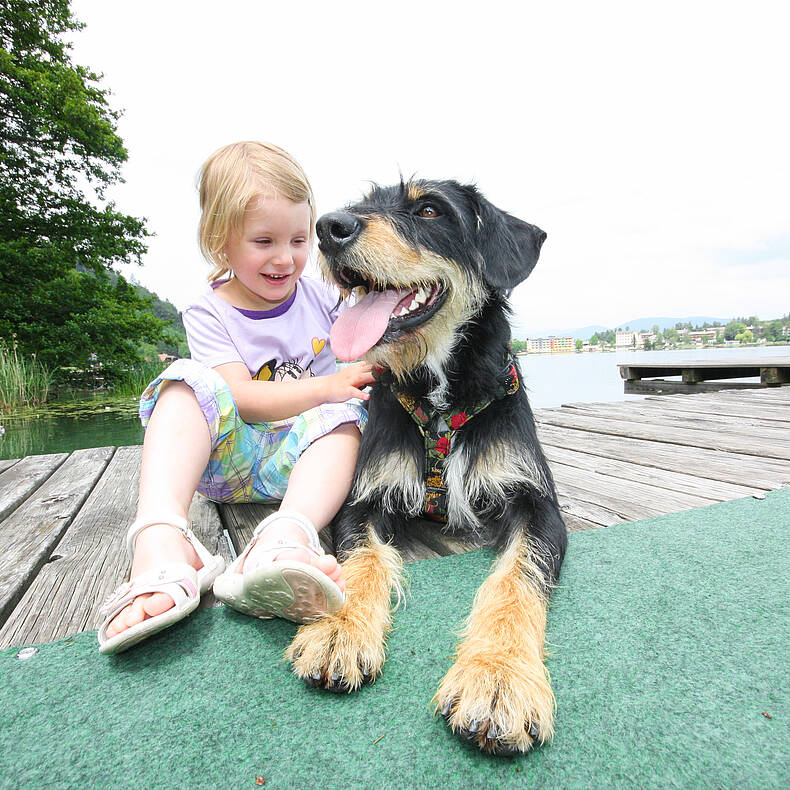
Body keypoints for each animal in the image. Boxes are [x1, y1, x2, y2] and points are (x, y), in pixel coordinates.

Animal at [284, 179, 568, 756]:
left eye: (430, 209)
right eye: (364, 202)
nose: (328, 227)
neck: (439, 396)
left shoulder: (539, 506)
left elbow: (516, 578)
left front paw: (499, 676)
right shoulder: (363, 501)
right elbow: (361, 559)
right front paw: (339, 629)